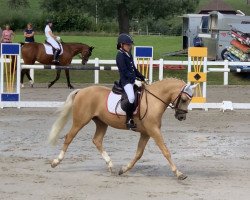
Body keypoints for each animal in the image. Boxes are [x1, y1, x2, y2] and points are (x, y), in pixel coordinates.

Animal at [48, 77, 197, 180]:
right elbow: (166, 151)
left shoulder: (146, 133)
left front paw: (124, 169)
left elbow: (138, 154)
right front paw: (179, 173)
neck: (154, 100)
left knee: (97, 140)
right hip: (80, 121)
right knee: (69, 137)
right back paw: (56, 162)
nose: (181, 116)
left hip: (101, 123)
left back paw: (110, 165)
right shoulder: (154, 130)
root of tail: (81, 91)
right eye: (184, 99)